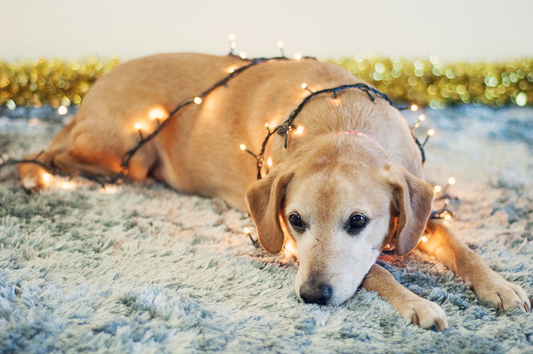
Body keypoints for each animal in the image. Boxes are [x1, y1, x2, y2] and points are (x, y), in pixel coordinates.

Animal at [16, 52, 528, 330]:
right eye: (295, 221)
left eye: (358, 221)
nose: (312, 295)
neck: (343, 124)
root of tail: (87, 96)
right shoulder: (286, 245)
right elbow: (375, 272)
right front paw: (417, 302)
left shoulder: (421, 215)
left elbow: (463, 247)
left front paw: (498, 285)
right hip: (127, 148)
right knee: (49, 157)